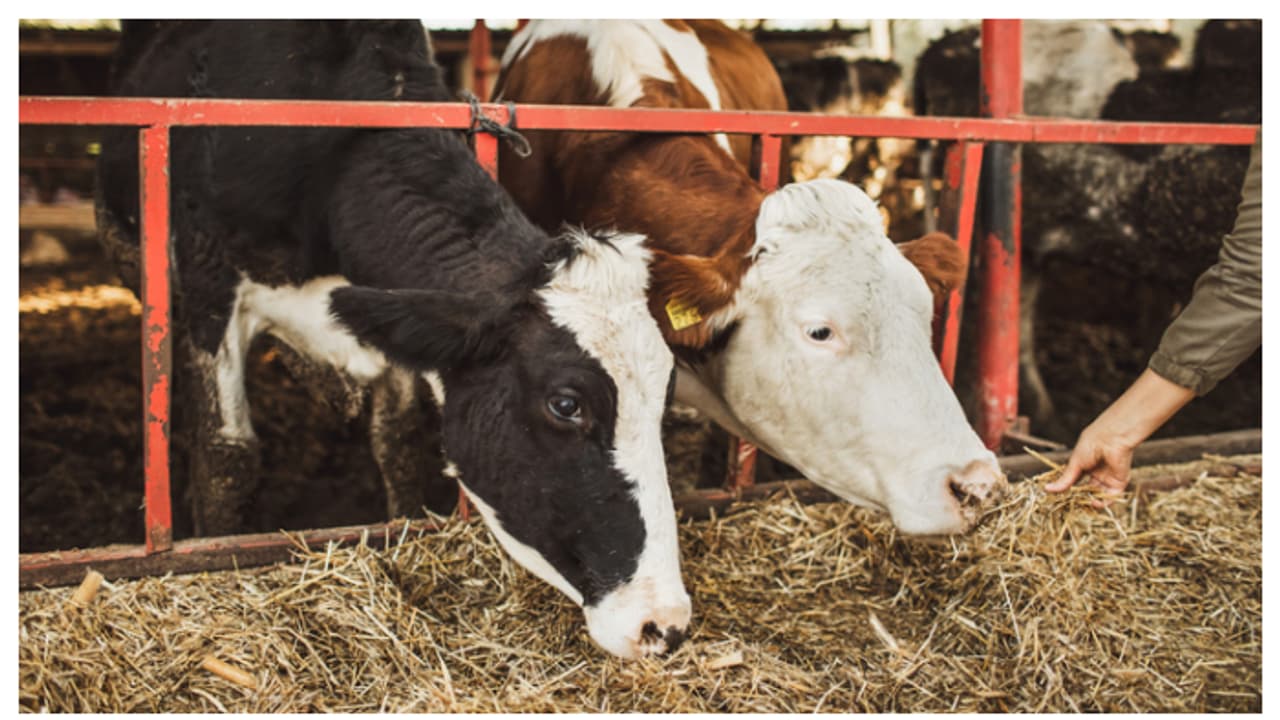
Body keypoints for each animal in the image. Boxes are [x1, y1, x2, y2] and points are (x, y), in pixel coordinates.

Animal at [95, 20, 689, 660]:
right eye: (566, 404)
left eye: (666, 394)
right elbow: (228, 454)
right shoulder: (208, 282)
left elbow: (399, 441)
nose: (664, 624)